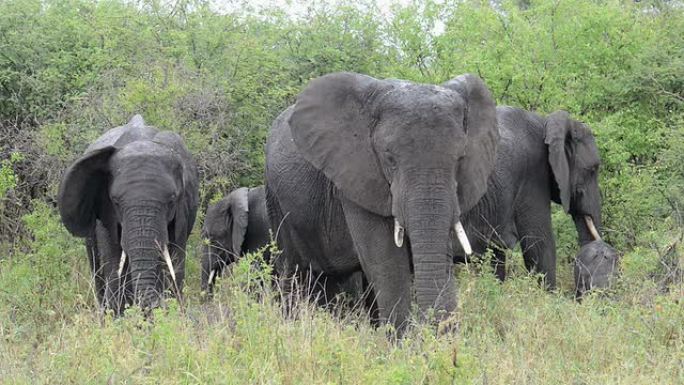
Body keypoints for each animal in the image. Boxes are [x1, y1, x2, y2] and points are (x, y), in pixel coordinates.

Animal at [57, 114, 199, 312]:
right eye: (115, 201)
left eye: (171, 200)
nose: (153, 304)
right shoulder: (106, 214)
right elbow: (113, 261)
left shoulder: (182, 214)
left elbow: (175, 260)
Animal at [266, 70, 496, 328]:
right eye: (389, 158)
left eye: (460, 159)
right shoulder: (356, 175)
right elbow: (387, 262)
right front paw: (404, 338)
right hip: (275, 199)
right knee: (291, 270)